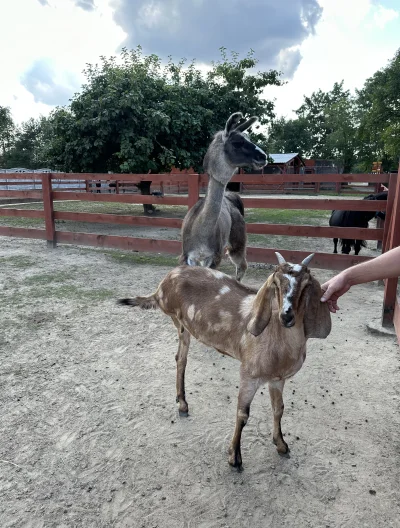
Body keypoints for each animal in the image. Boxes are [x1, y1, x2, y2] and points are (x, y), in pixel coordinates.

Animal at [119, 253, 332, 470]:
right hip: (179, 322)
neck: (275, 337)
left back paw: (182, 403)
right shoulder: (249, 373)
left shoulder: (277, 379)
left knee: (180, 358)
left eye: (306, 284)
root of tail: (162, 285)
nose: (286, 316)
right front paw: (234, 457)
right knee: (182, 359)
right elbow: (243, 414)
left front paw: (281, 444)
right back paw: (183, 405)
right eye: (276, 282)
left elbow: (278, 409)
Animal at [180, 111, 268, 280]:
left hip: (237, 239)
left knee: (242, 266)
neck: (200, 231)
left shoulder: (215, 257)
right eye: (237, 142)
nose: (263, 156)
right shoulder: (188, 256)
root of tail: (230, 197)